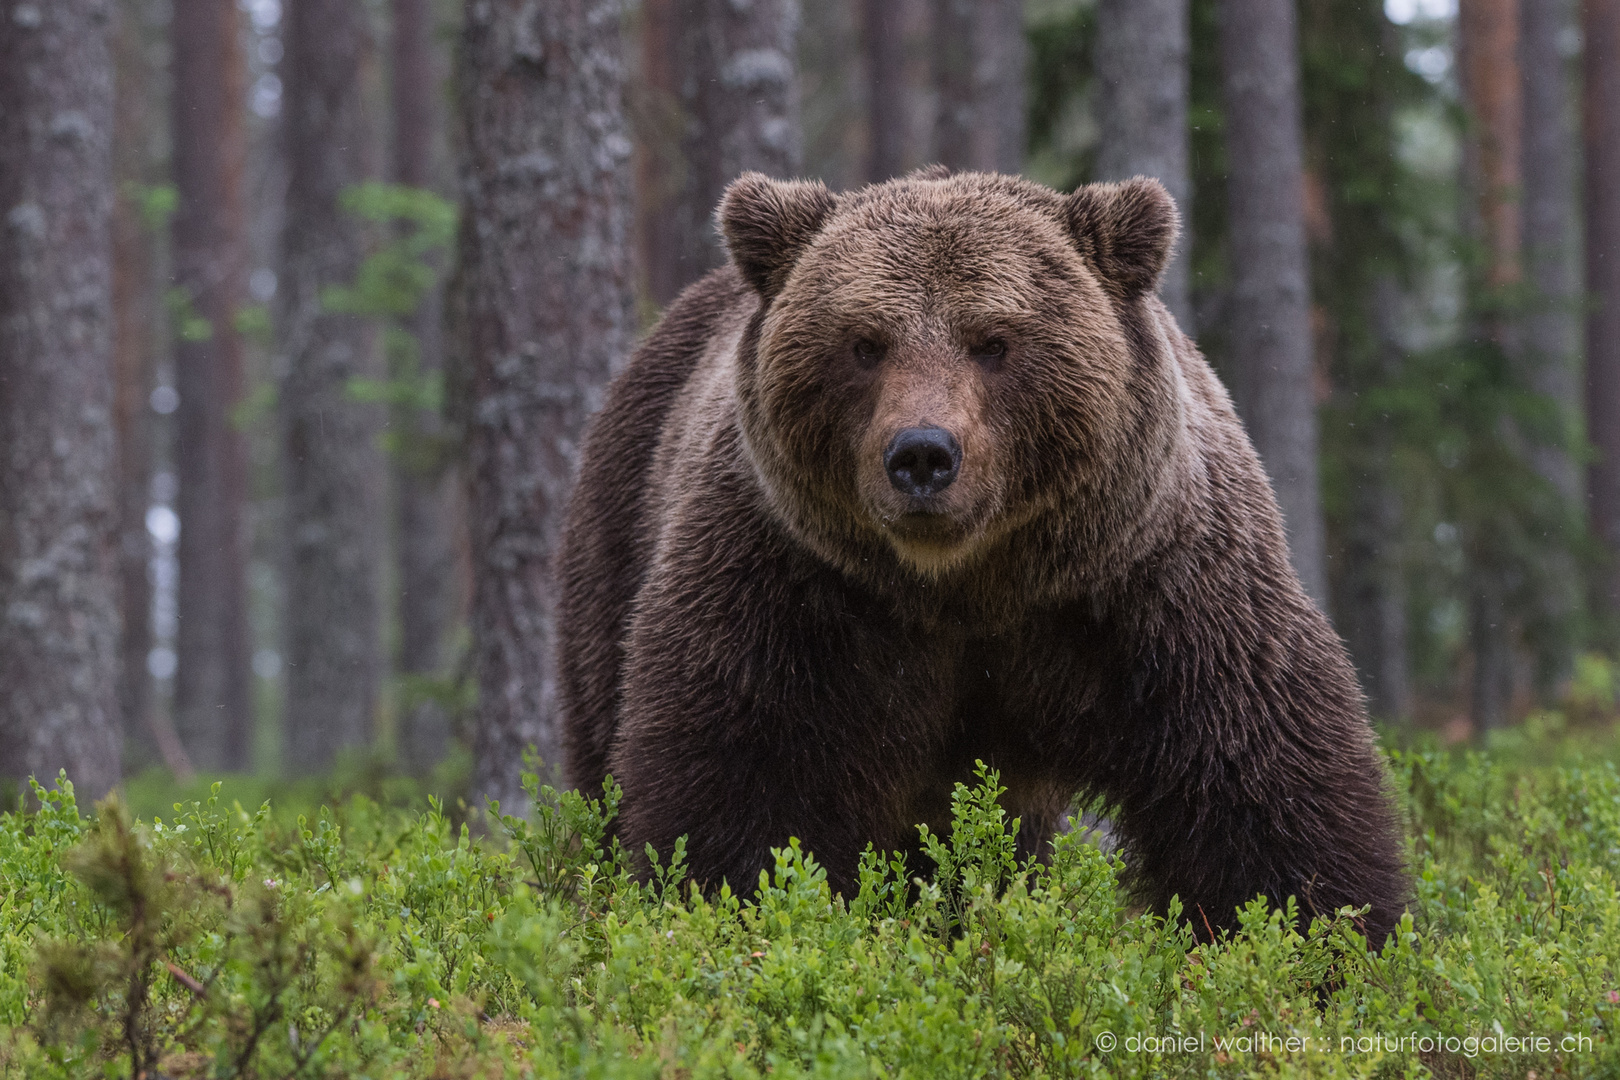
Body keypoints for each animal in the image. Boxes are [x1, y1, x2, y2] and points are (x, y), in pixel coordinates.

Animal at [557, 169, 1406, 945]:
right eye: (864, 343)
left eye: (994, 341)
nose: (923, 455)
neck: (968, 588)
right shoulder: (792, 590)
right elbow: (740, 786)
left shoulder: (1151, 591)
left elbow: (1258, 784)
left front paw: (1326, 942)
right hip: (615, 543)